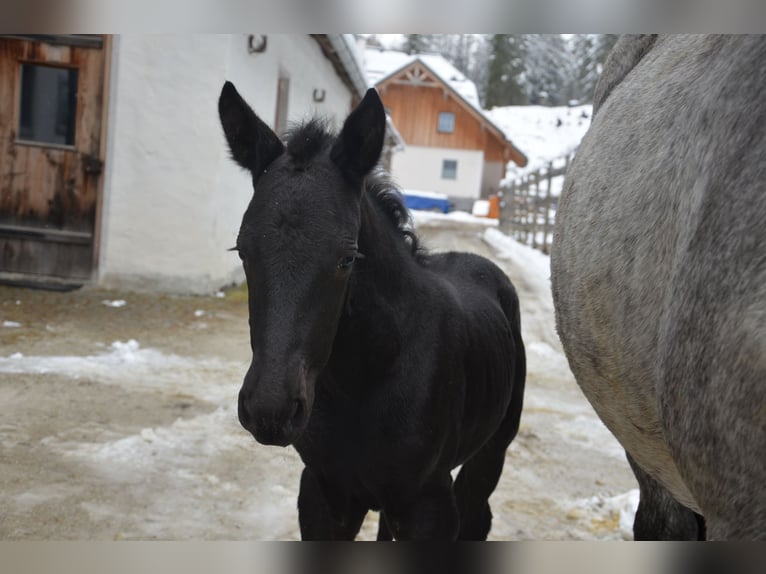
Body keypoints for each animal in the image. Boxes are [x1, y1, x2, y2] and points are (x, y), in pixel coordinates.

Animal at [218, 82, 526, 540]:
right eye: (242, 250)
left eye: (347, 258)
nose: (269, 411)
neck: (365, 381)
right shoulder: (325, 493)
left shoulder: (429, 505)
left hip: (490, 454)